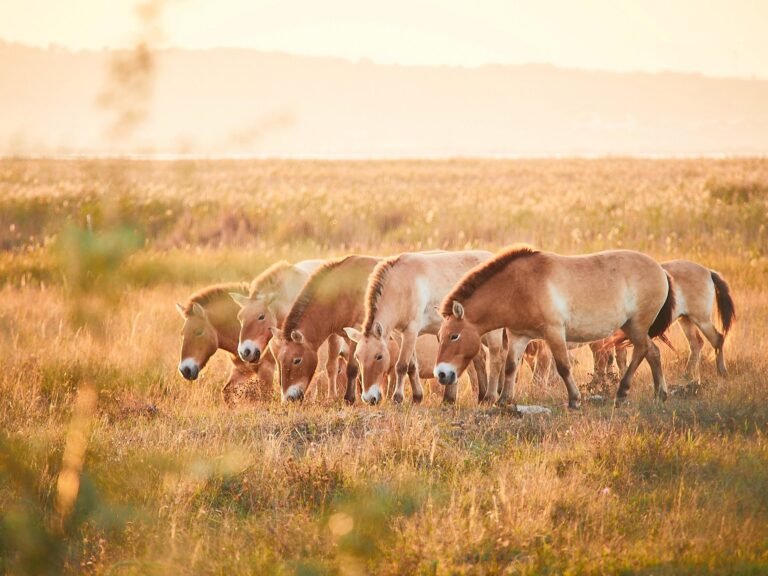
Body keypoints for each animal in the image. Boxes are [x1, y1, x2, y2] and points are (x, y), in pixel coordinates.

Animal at [270, 255, 382, 403]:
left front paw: (349, 399)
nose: (288, 399)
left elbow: (352, 367)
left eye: (297, 360)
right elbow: (336, 366)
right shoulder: (339, 335)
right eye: (280, 360)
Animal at [343, 251, 506, 405]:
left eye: (379, 356)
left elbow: (401, 365)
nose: (369, 398)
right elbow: (412, 366)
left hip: (493, 332)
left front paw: (397, 398)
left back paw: (490, 397)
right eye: (357, 357)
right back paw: (479, 397)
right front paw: (417, 397)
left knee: (495, 358)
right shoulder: (399, 334)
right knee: (480, 359)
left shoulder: (411, 331)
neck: (400, 284)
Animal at [434, 246, 676, 407]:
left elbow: (563, 367)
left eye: (454, 336)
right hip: (631, 327)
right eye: (440, 336)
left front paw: (574, 400)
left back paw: (623, 392)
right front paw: (503, 401)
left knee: (643, 351)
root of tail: (660, 270)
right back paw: (659, 394)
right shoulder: (518, 336)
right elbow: (511, 367)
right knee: (653, 352)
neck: (518, 286)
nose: (442, 374)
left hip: (636, 326)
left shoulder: (554, 332)